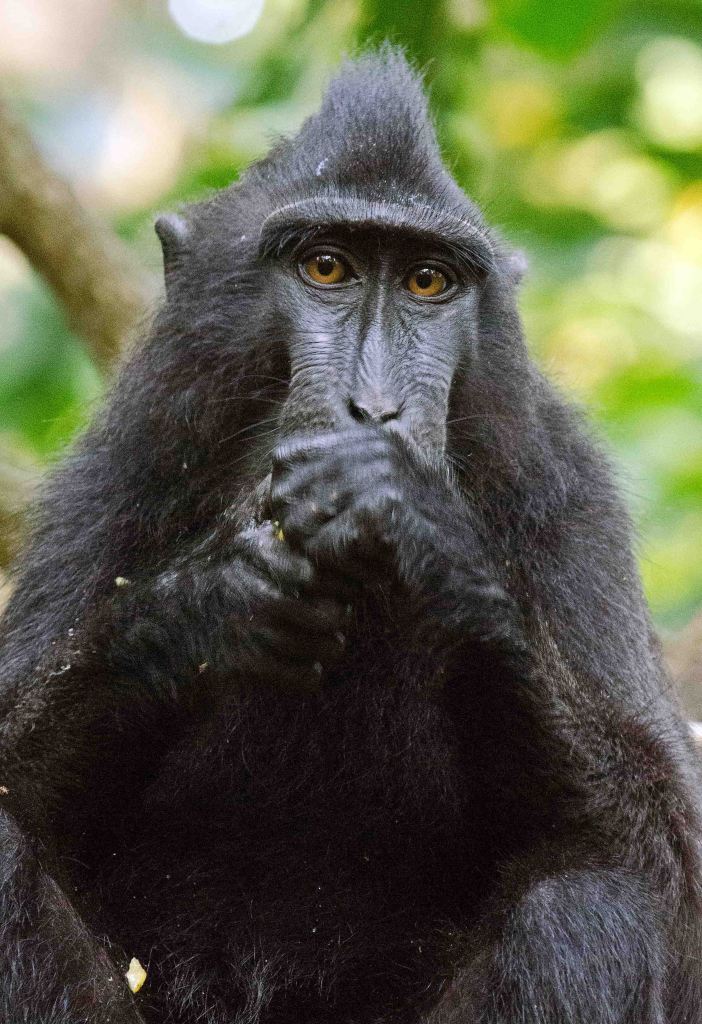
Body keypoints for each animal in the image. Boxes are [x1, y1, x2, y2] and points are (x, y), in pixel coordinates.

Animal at [1, 47, 701, 1024]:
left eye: (427, 282)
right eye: (326, 268)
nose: (373, 410)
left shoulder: (571, 497)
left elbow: (670, 860)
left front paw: (415, 524)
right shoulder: (121, 470)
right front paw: (207, 608)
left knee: (588, 901)